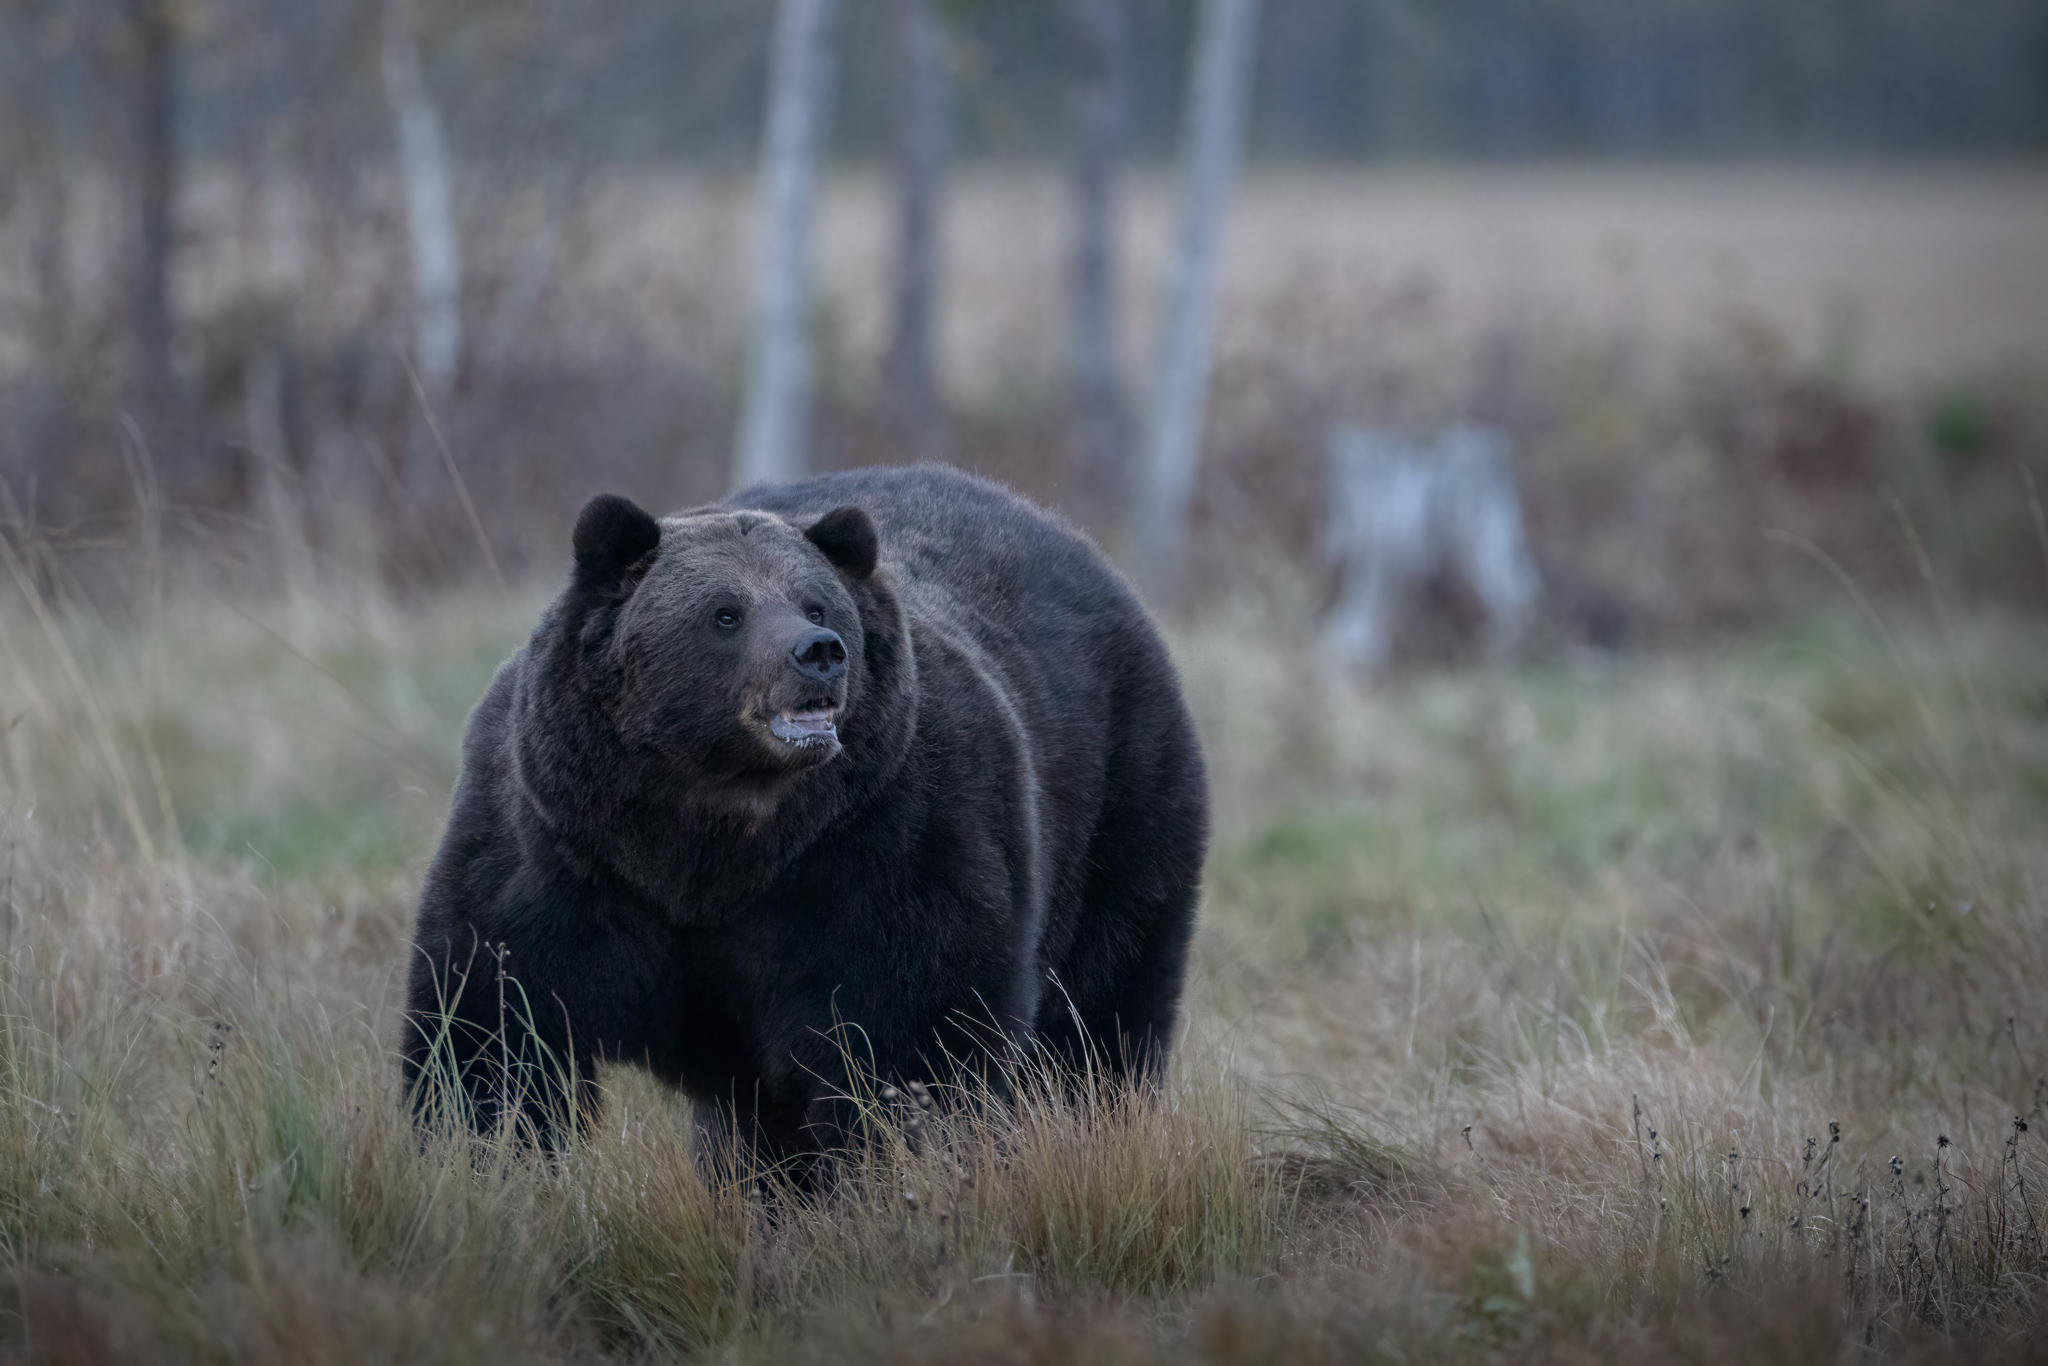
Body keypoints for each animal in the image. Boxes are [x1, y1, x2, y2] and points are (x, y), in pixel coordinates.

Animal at [400, 464, 1209, 1174]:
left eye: (816, 603)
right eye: (724, 612)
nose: (819, 652)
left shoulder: (886, 847)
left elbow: (914, 1038)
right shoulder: (560, 848)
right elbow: (495, 1024)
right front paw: (479, 1161)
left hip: (1119, 802)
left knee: (1097, 1018)